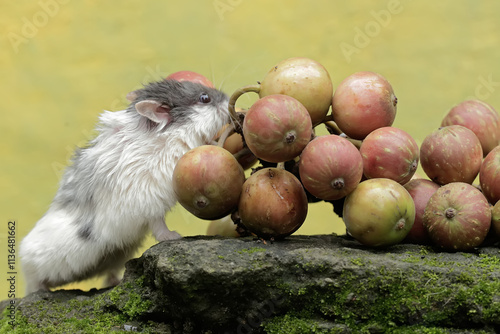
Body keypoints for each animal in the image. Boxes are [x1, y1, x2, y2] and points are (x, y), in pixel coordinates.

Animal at [19, 79, 230, 294]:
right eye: (204, 98)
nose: (229, 99)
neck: (170, 135)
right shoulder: (150, 202)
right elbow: (159, 225)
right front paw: (174, 236)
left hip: (116, 254)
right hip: (37, 265)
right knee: (33, 283)